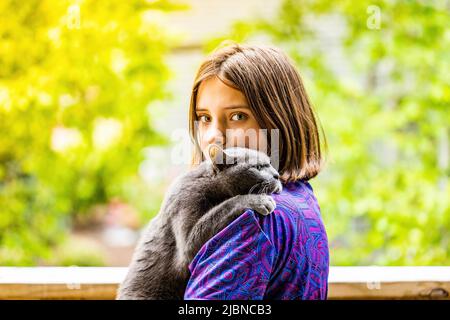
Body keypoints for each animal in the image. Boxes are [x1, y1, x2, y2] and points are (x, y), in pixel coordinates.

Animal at [118, 145, 284, 300]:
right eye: (258, 167)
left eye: (270, 164)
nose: (277, 175)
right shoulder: (186, 204)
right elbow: (226, 205)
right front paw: (259, 200)